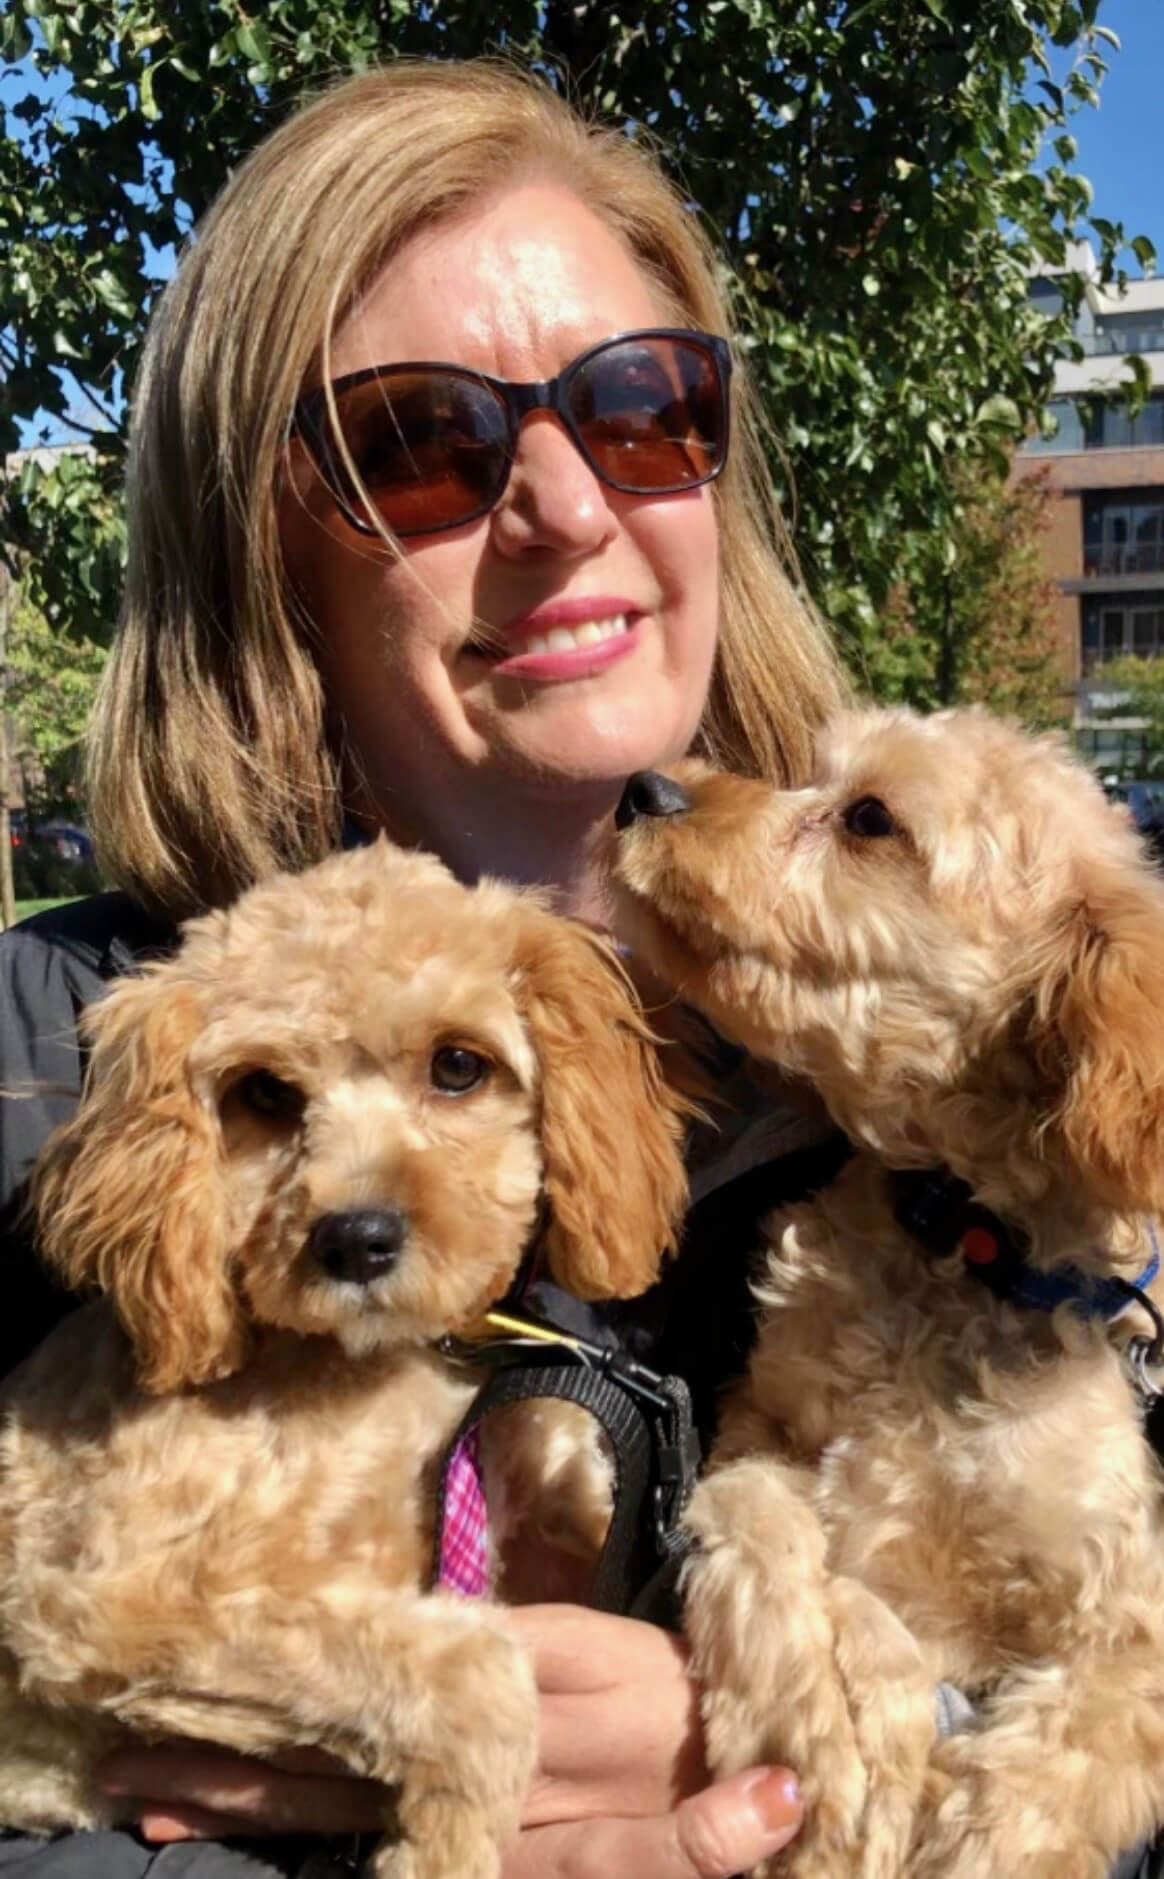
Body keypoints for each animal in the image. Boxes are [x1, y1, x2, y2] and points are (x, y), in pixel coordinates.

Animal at [0, 845, 688, 1879]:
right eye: (264, 1094)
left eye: (458, 1065)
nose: (355, 1241)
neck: (396, 1368)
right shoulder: (108, 1602)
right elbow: (471, 1670)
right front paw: (440, 1849)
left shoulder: (561, 1486)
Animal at [613, 710, 1164, 1879]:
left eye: (870, 818)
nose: (642, 788)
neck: (959, 1237)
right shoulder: (759, 1436)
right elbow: (776, 1534)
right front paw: (831, 1725)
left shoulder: (1131, 1617)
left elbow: (1045, 1776)